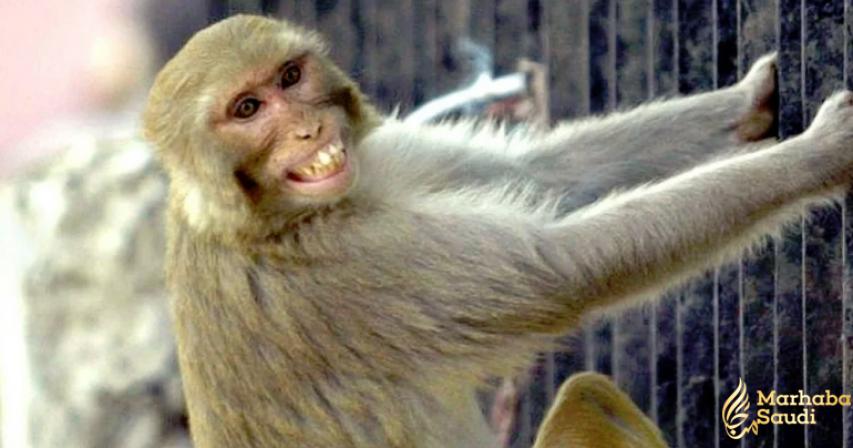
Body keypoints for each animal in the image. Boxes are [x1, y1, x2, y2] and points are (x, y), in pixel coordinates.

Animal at [143, 14, 853, 448]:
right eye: (247, 109)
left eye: (290, 77)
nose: (308, 132)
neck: (257, 219)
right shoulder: (347, 272)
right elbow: (563, 265)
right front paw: (819, 155)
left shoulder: (370, 169)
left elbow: (542, 173)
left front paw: (749, 102)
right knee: (585, 396)